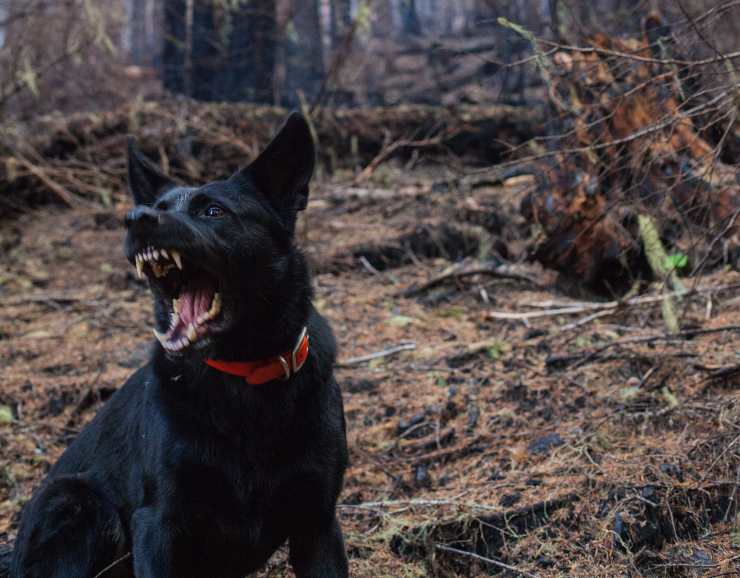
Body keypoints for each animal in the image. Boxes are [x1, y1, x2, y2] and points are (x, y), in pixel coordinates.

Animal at [8, 113, 350, 576]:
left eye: (213, 211)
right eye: (160, 207)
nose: (136, 217)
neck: (243, 376)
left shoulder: (318, 523)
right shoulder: (159, 522)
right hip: (77, 501)